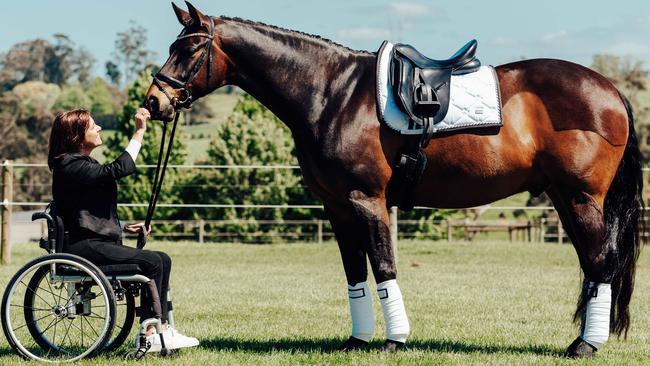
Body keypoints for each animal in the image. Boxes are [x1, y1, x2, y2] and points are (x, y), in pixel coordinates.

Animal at [144, 2, 640, 358]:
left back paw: (585, 345)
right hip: (564, 198)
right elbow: (355, 273)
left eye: (189, 49)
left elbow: (383, 267)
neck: (332, 94)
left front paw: (393, 340)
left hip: (581, 198)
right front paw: (357, 340)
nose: (153, 102)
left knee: (601, 263)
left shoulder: (367, 199)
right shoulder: (337, 207)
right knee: (592, 266)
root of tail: (610, 89)